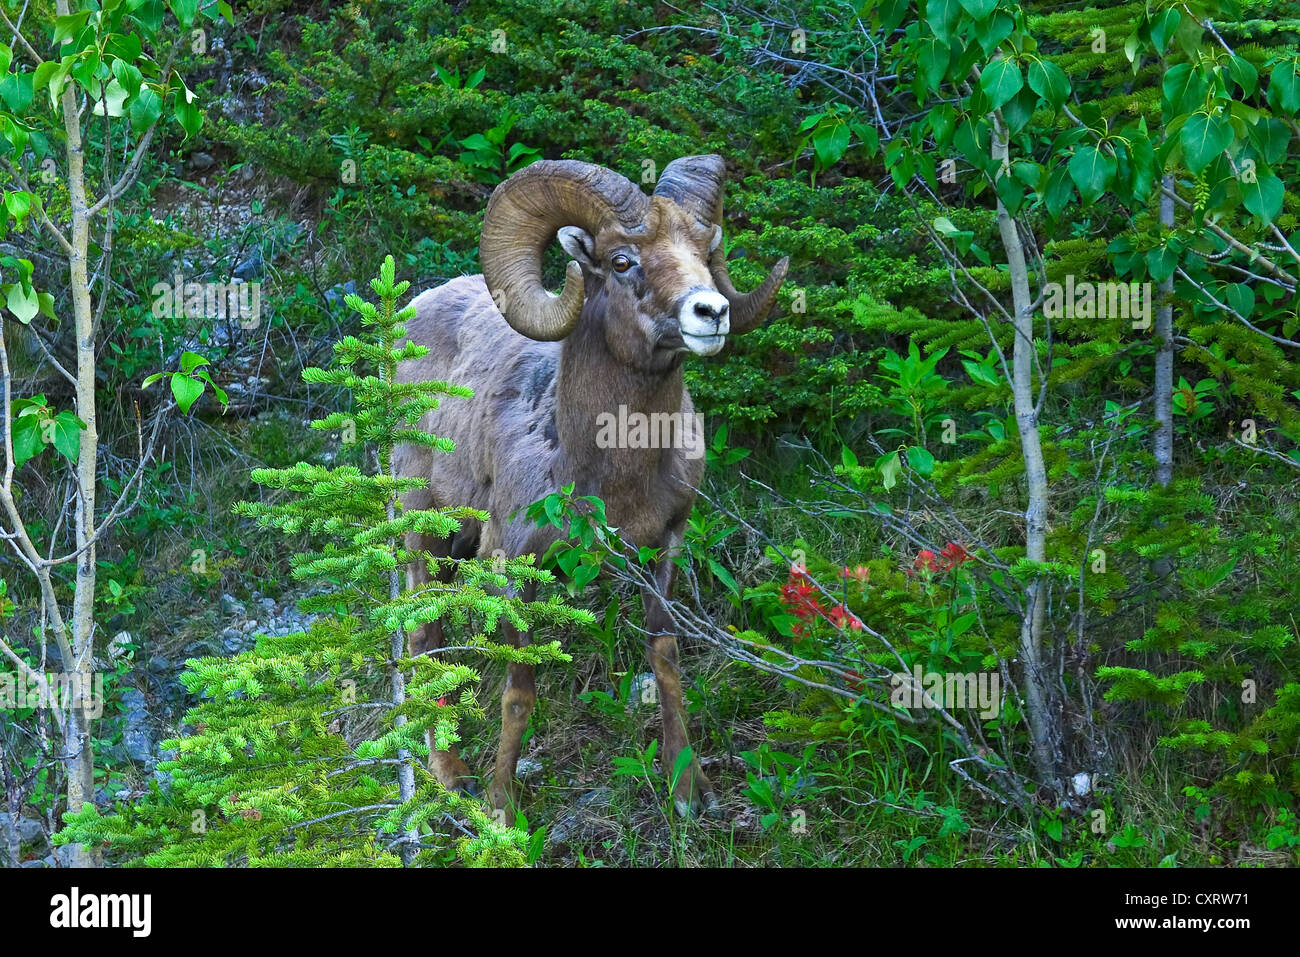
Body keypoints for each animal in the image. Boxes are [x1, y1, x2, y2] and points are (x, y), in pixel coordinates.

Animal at [390, 155, 785, 816]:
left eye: (705, 250)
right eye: (622, 261)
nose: (711, 312)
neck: (606, 474)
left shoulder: (661, 551)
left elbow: (666, 659)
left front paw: (688, 791)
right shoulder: (514, 566)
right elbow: (519, 690)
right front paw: (501, 807)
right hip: (423, 525)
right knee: (425, 638)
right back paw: (452, 776)